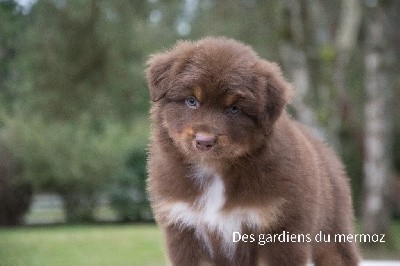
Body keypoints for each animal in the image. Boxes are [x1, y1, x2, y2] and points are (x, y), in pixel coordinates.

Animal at [145, 37, 360, 266]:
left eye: (234, 109)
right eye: (191, 101)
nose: (204, 141)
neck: (216, 171)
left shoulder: (280, 232)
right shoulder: (184, 228)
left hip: (333, 236)